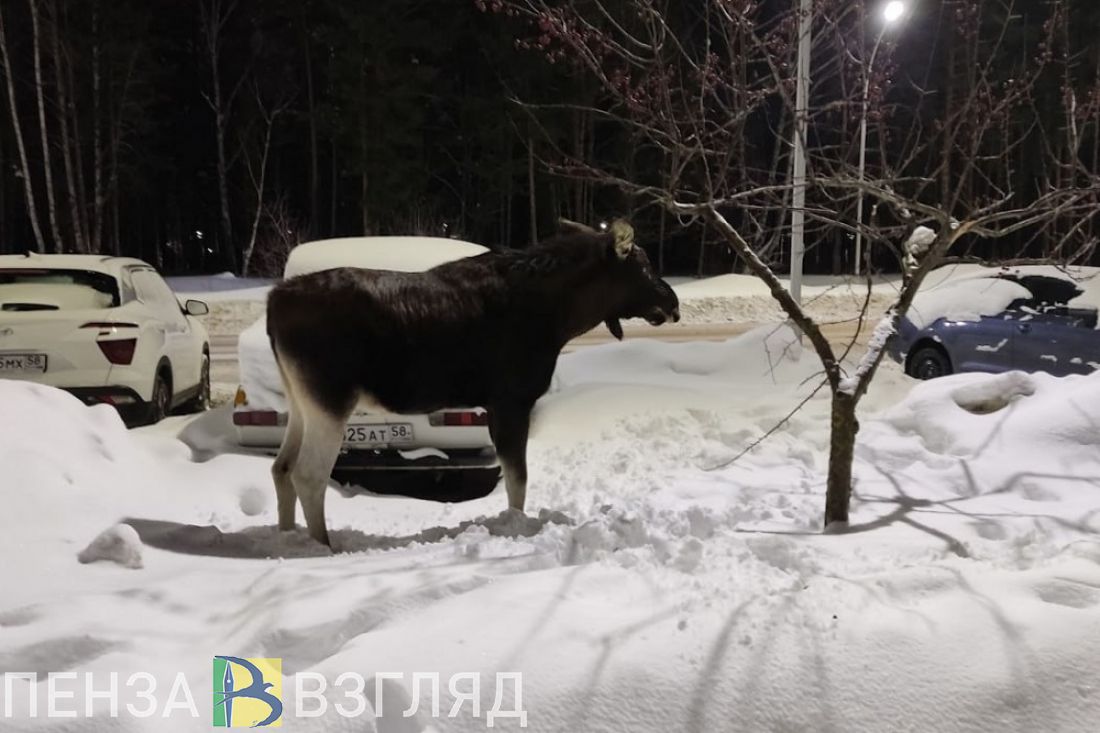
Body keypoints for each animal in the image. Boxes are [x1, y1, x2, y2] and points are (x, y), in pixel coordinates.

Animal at [266, 218, 680, 546]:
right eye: (644, 267)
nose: (674, 305)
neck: (562, 318)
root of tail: (273, 305)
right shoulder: (511, 400)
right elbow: (518, 480)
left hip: (300, 400)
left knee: (281, 467)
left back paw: (288, 537)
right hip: (331, 398)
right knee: (308, 475)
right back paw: (323, 546)